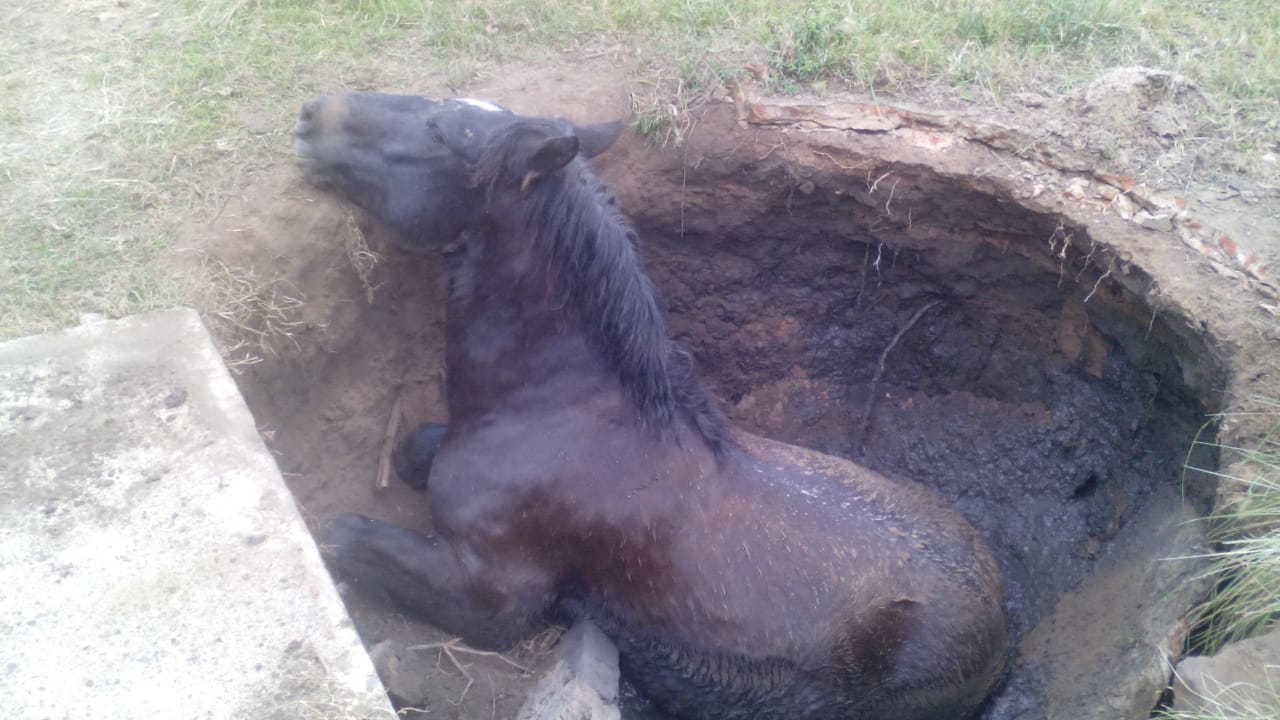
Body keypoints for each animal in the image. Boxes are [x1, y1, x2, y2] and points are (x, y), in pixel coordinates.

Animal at [294, 92, 1008, 720]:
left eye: (442, 131)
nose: (311, 116)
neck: (555, 411)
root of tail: (1001, 624)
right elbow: (413, 450)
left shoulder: (488, 599)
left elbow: (338, 534)